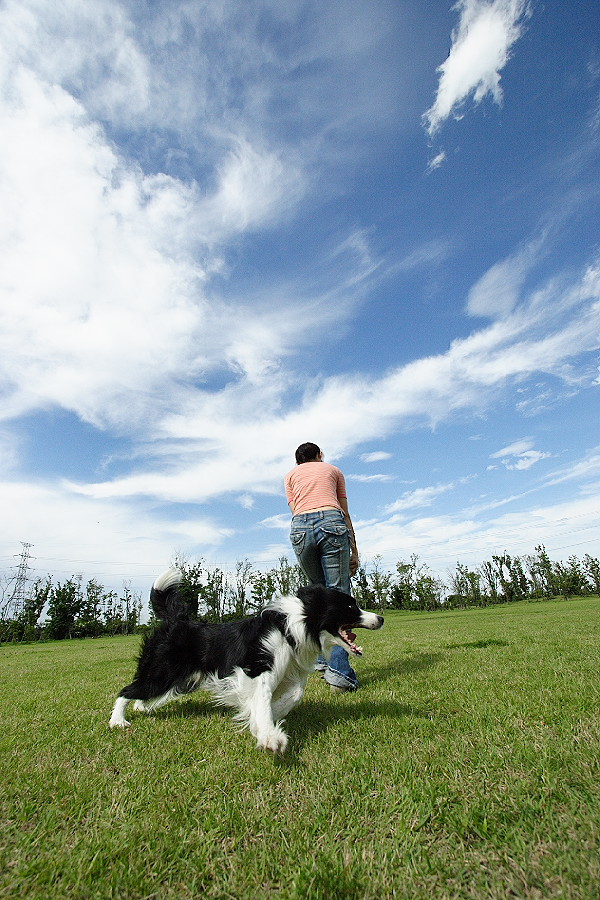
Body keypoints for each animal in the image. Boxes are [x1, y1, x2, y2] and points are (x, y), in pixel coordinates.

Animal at [109, 568, 384, 753]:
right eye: (350, 607)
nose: (380, 618)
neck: (291, 628)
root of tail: (177, 621)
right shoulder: (257, 670)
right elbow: (261, 700)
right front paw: (269, 735)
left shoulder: (290, 671)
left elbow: (295, 695)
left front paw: (272, 715)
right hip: (163, 671)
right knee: (126, 690)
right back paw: (118, 721)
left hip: (180, 679)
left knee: (142, 693)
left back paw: (142, 708)